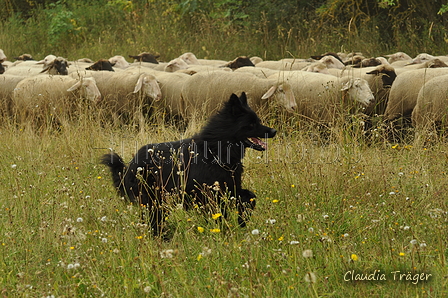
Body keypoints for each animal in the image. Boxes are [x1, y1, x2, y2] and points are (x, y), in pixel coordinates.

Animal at [101, 93, 276, 235]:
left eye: (258, 121)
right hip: (153, 200)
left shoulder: (229, 188)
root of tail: (130, 165)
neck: (215, 151)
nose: (274, 131)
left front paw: (242, 220)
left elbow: (250, 197)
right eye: (252, 124)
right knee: (154, 221)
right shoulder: (208, 195)